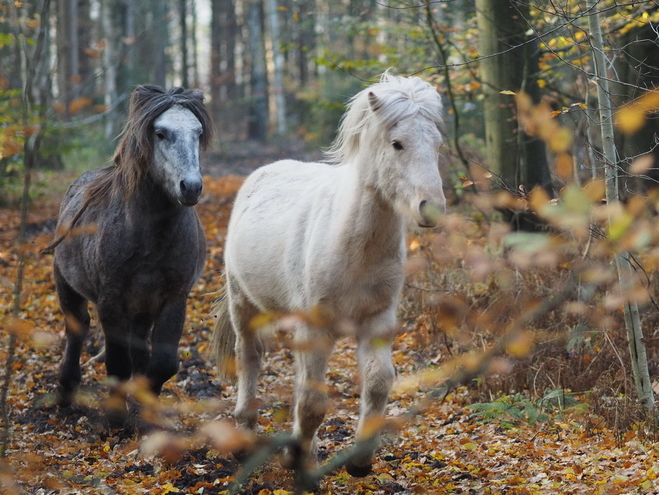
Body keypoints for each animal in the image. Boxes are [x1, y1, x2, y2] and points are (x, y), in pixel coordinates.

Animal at [49, 85, 214, 418]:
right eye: (160, 133)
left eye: (198, 132)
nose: (190, 187)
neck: (149, 235)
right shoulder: (111, 301)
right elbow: (118, 364)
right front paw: (116, 418)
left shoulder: (174, 298)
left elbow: (162, 363)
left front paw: (146, 408)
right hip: (67, 286)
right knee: (77, 328)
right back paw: (66, 390)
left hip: (142, 307)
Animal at [214, 72, 446, 476]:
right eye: (397, 143)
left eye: (437, 144)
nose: (431, 208)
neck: (352, 248)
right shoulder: (316, 328)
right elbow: (311, 401)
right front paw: (297, 457)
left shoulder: (377, 321)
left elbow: (378, 383)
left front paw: (360, 460)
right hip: (243, 305)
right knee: (249, 356)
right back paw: (245, 429)